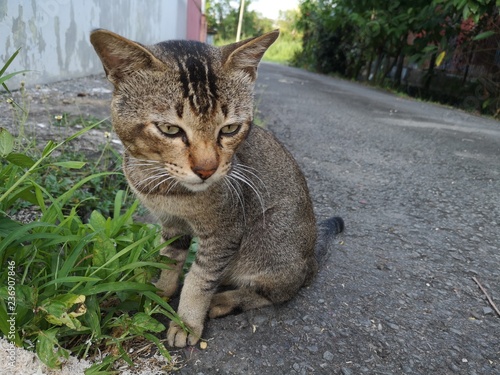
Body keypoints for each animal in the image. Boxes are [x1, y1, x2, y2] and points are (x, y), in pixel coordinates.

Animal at [90, 29, 344, 350]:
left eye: (230, 129)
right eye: (170, 130)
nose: (206, 169)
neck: (162, 185)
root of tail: (311, 259)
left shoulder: (225, 233)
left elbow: (199, 280)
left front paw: (186, 322)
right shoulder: (172, 225)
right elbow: (169, 260)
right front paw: (158, 292)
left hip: (271, 236)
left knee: (278, 291)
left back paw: (224, 300)